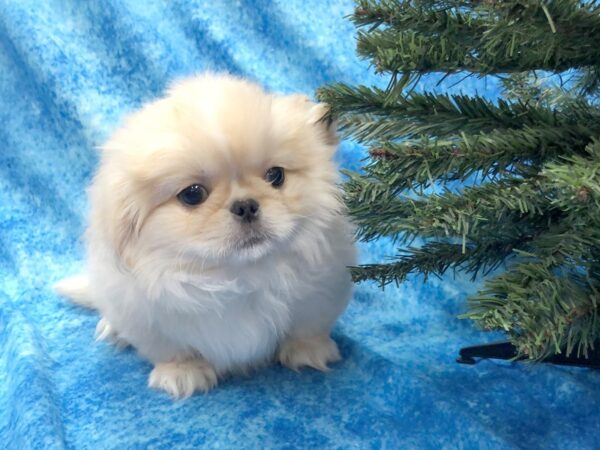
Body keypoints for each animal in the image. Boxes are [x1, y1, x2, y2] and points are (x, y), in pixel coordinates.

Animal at [55, 73, 356, 398]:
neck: (239, 275)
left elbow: (308, 328)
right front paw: (183, 373)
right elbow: (170, 349)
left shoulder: (323, 293)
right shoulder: (145, 319)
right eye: (192, 194)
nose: (246, 205)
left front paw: (308, 352)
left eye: (276, 176)